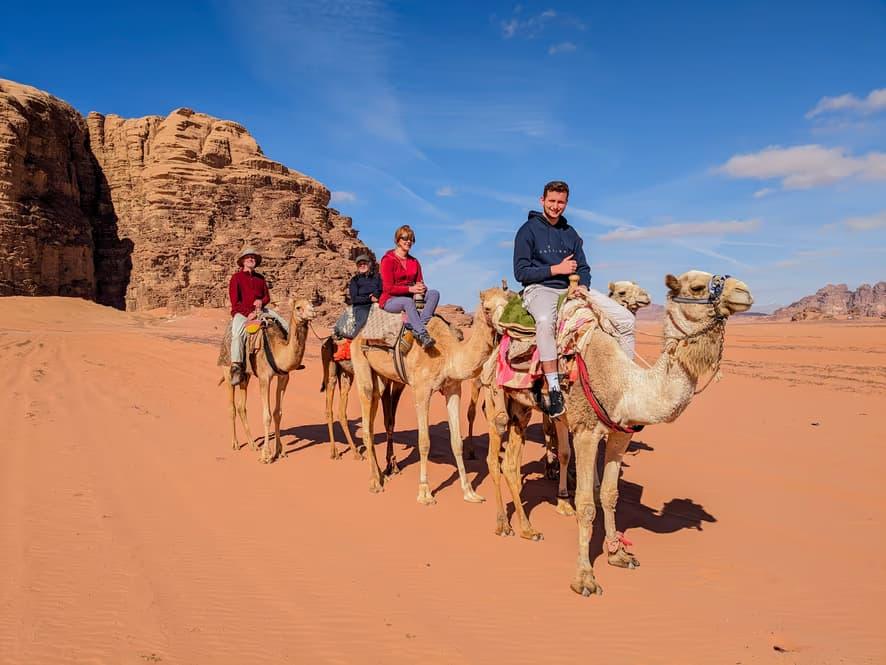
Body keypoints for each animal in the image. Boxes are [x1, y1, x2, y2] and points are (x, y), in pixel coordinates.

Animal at [218, 299, 316, 463]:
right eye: (298, 307)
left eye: (312, 303)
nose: (313, 312)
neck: (277, 350)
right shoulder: (265, 378)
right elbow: (267, 415)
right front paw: (266, 455)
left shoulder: (284, 377)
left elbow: (278, 413)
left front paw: (280, 451)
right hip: (227, 368)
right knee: (232, 407)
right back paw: (236, 444)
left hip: (246, 375)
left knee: (241, 406)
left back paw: (252, 444)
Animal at [350, 287, 511, 504]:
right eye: (487, 308)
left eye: (509, 303)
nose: (505, 327)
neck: (448, 354)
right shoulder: (421, 390)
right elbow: (424, 442)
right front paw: (425, 492)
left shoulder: (453, 389)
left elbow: (456, 442)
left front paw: (469, 491)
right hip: (361, 364)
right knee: (367, 419)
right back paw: (375, 481)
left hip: (382, 377)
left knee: (376, 409)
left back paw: (386, 472)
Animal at [480, 271, 752, 596]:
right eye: (697, 287)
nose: (743, 291)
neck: (624, 386)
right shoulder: (585, 432)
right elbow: (586, 504)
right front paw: (584, 577)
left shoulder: (620, 435)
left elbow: (610, 495)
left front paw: (617, 554)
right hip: (495, 400)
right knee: (494, 457)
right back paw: (502, 524)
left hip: (522, 408)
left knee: (510, 464)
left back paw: (528, 529)